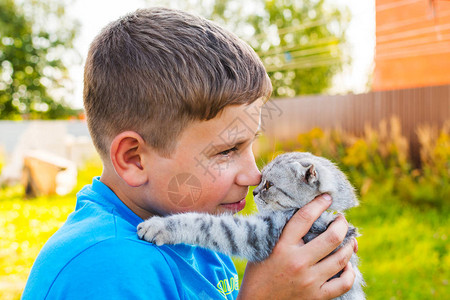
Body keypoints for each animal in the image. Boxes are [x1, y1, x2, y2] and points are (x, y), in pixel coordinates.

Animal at [138, 152, 366, 300]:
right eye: (261, 179)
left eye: (269, 185)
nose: (254, 192)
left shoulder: (257, 233)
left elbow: (204, 224)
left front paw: (158, 225)